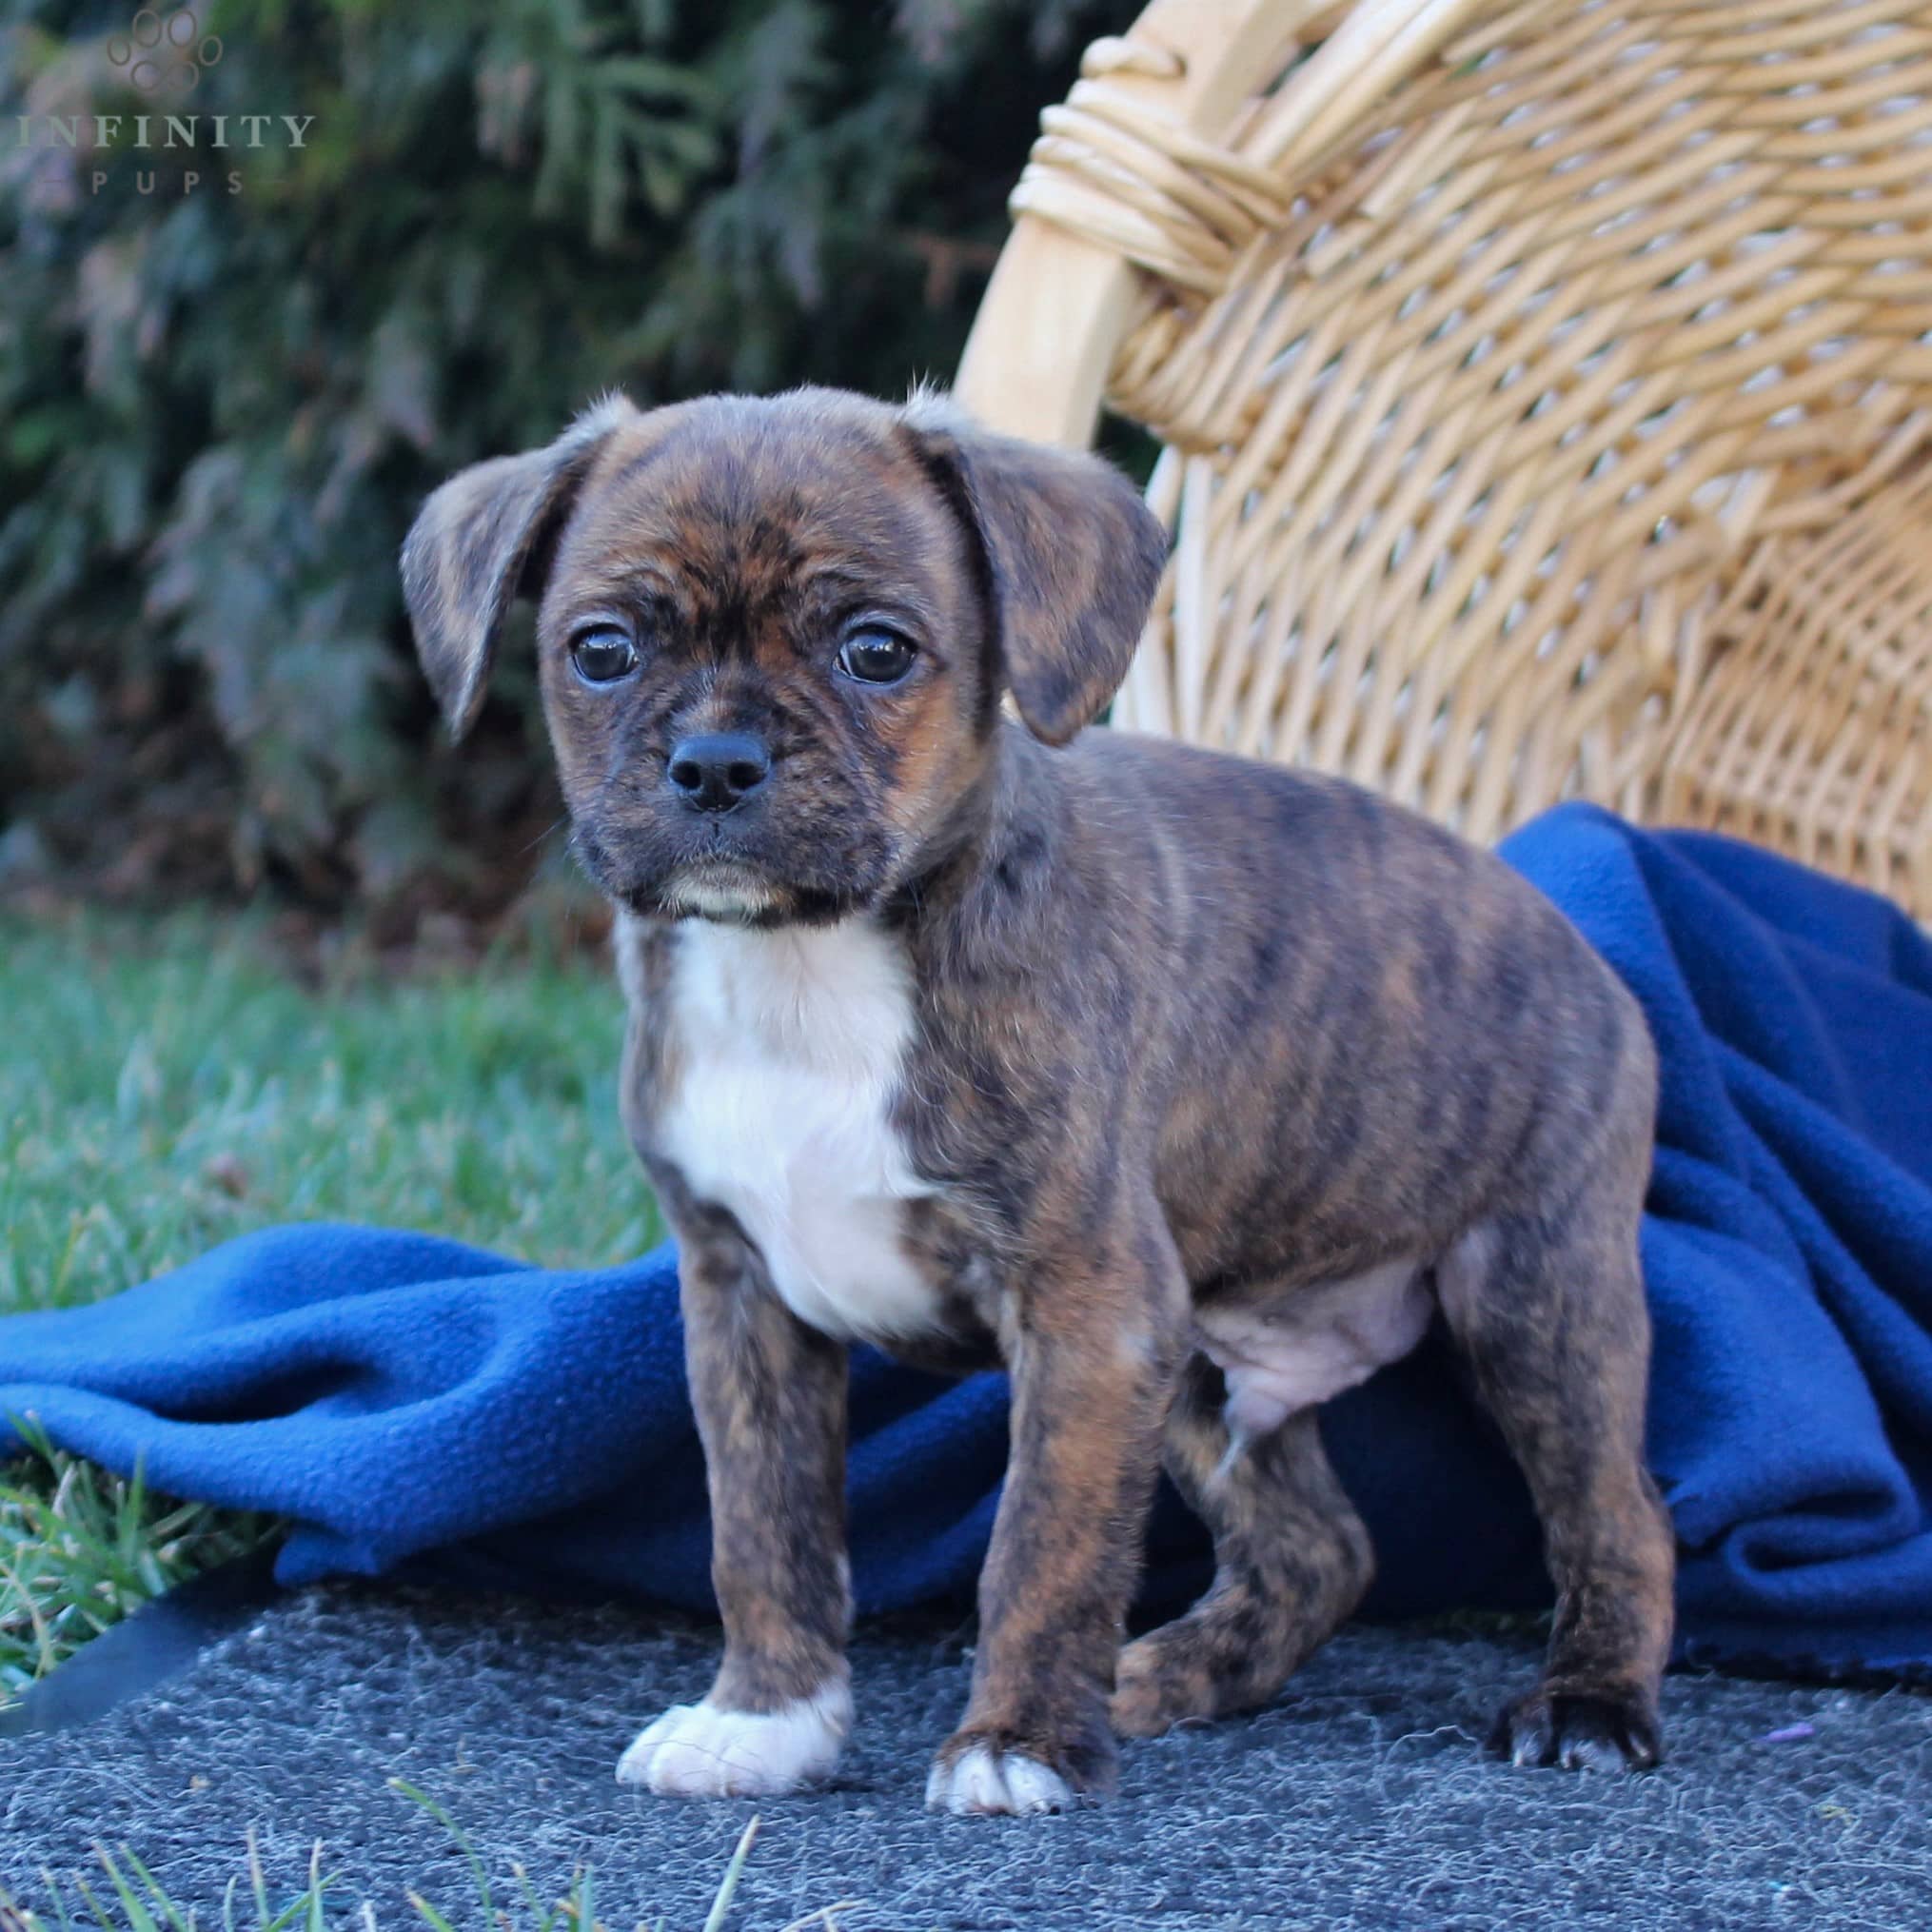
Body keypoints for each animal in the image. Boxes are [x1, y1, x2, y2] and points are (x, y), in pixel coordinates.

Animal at [404, 388, 1677, 1808]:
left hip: (1536, 1298)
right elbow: (761, 1524)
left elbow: (1042, 1539)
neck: (810, 962)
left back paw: (1586, 1700)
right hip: (1206, 1370)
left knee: (1619, 1513)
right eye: (604, 650)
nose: (716, 762)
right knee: (1319, 1548)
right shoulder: (742, 1298)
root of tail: (1580, 948)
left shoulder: (1088, 1306)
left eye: (877, 650)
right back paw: (1165, 1672)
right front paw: (766, 1717)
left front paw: (1014, 1738)